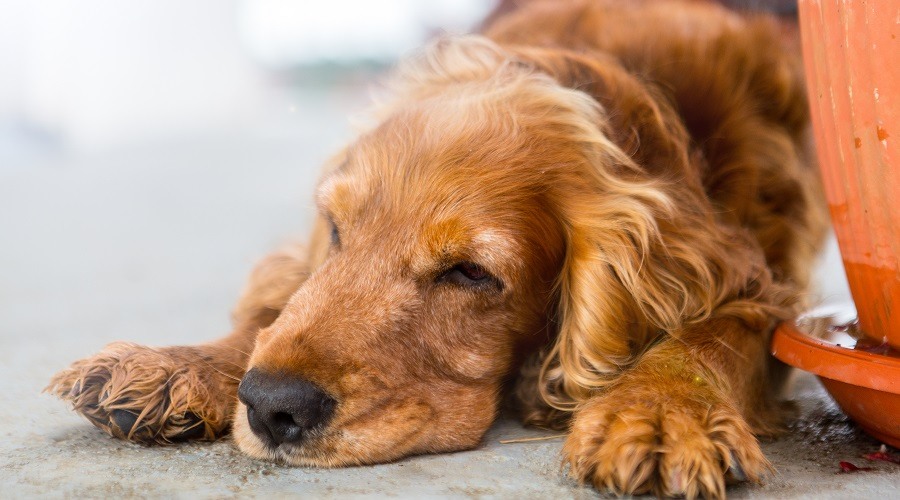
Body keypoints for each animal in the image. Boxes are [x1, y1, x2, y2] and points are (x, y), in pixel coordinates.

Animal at [47, 1, 824, 498]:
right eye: (337, 230)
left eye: (470, 274)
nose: (271, 406)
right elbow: (280, 306)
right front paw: (175, 365)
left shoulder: (762, 285)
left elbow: (711, 334)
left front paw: (662, 414)